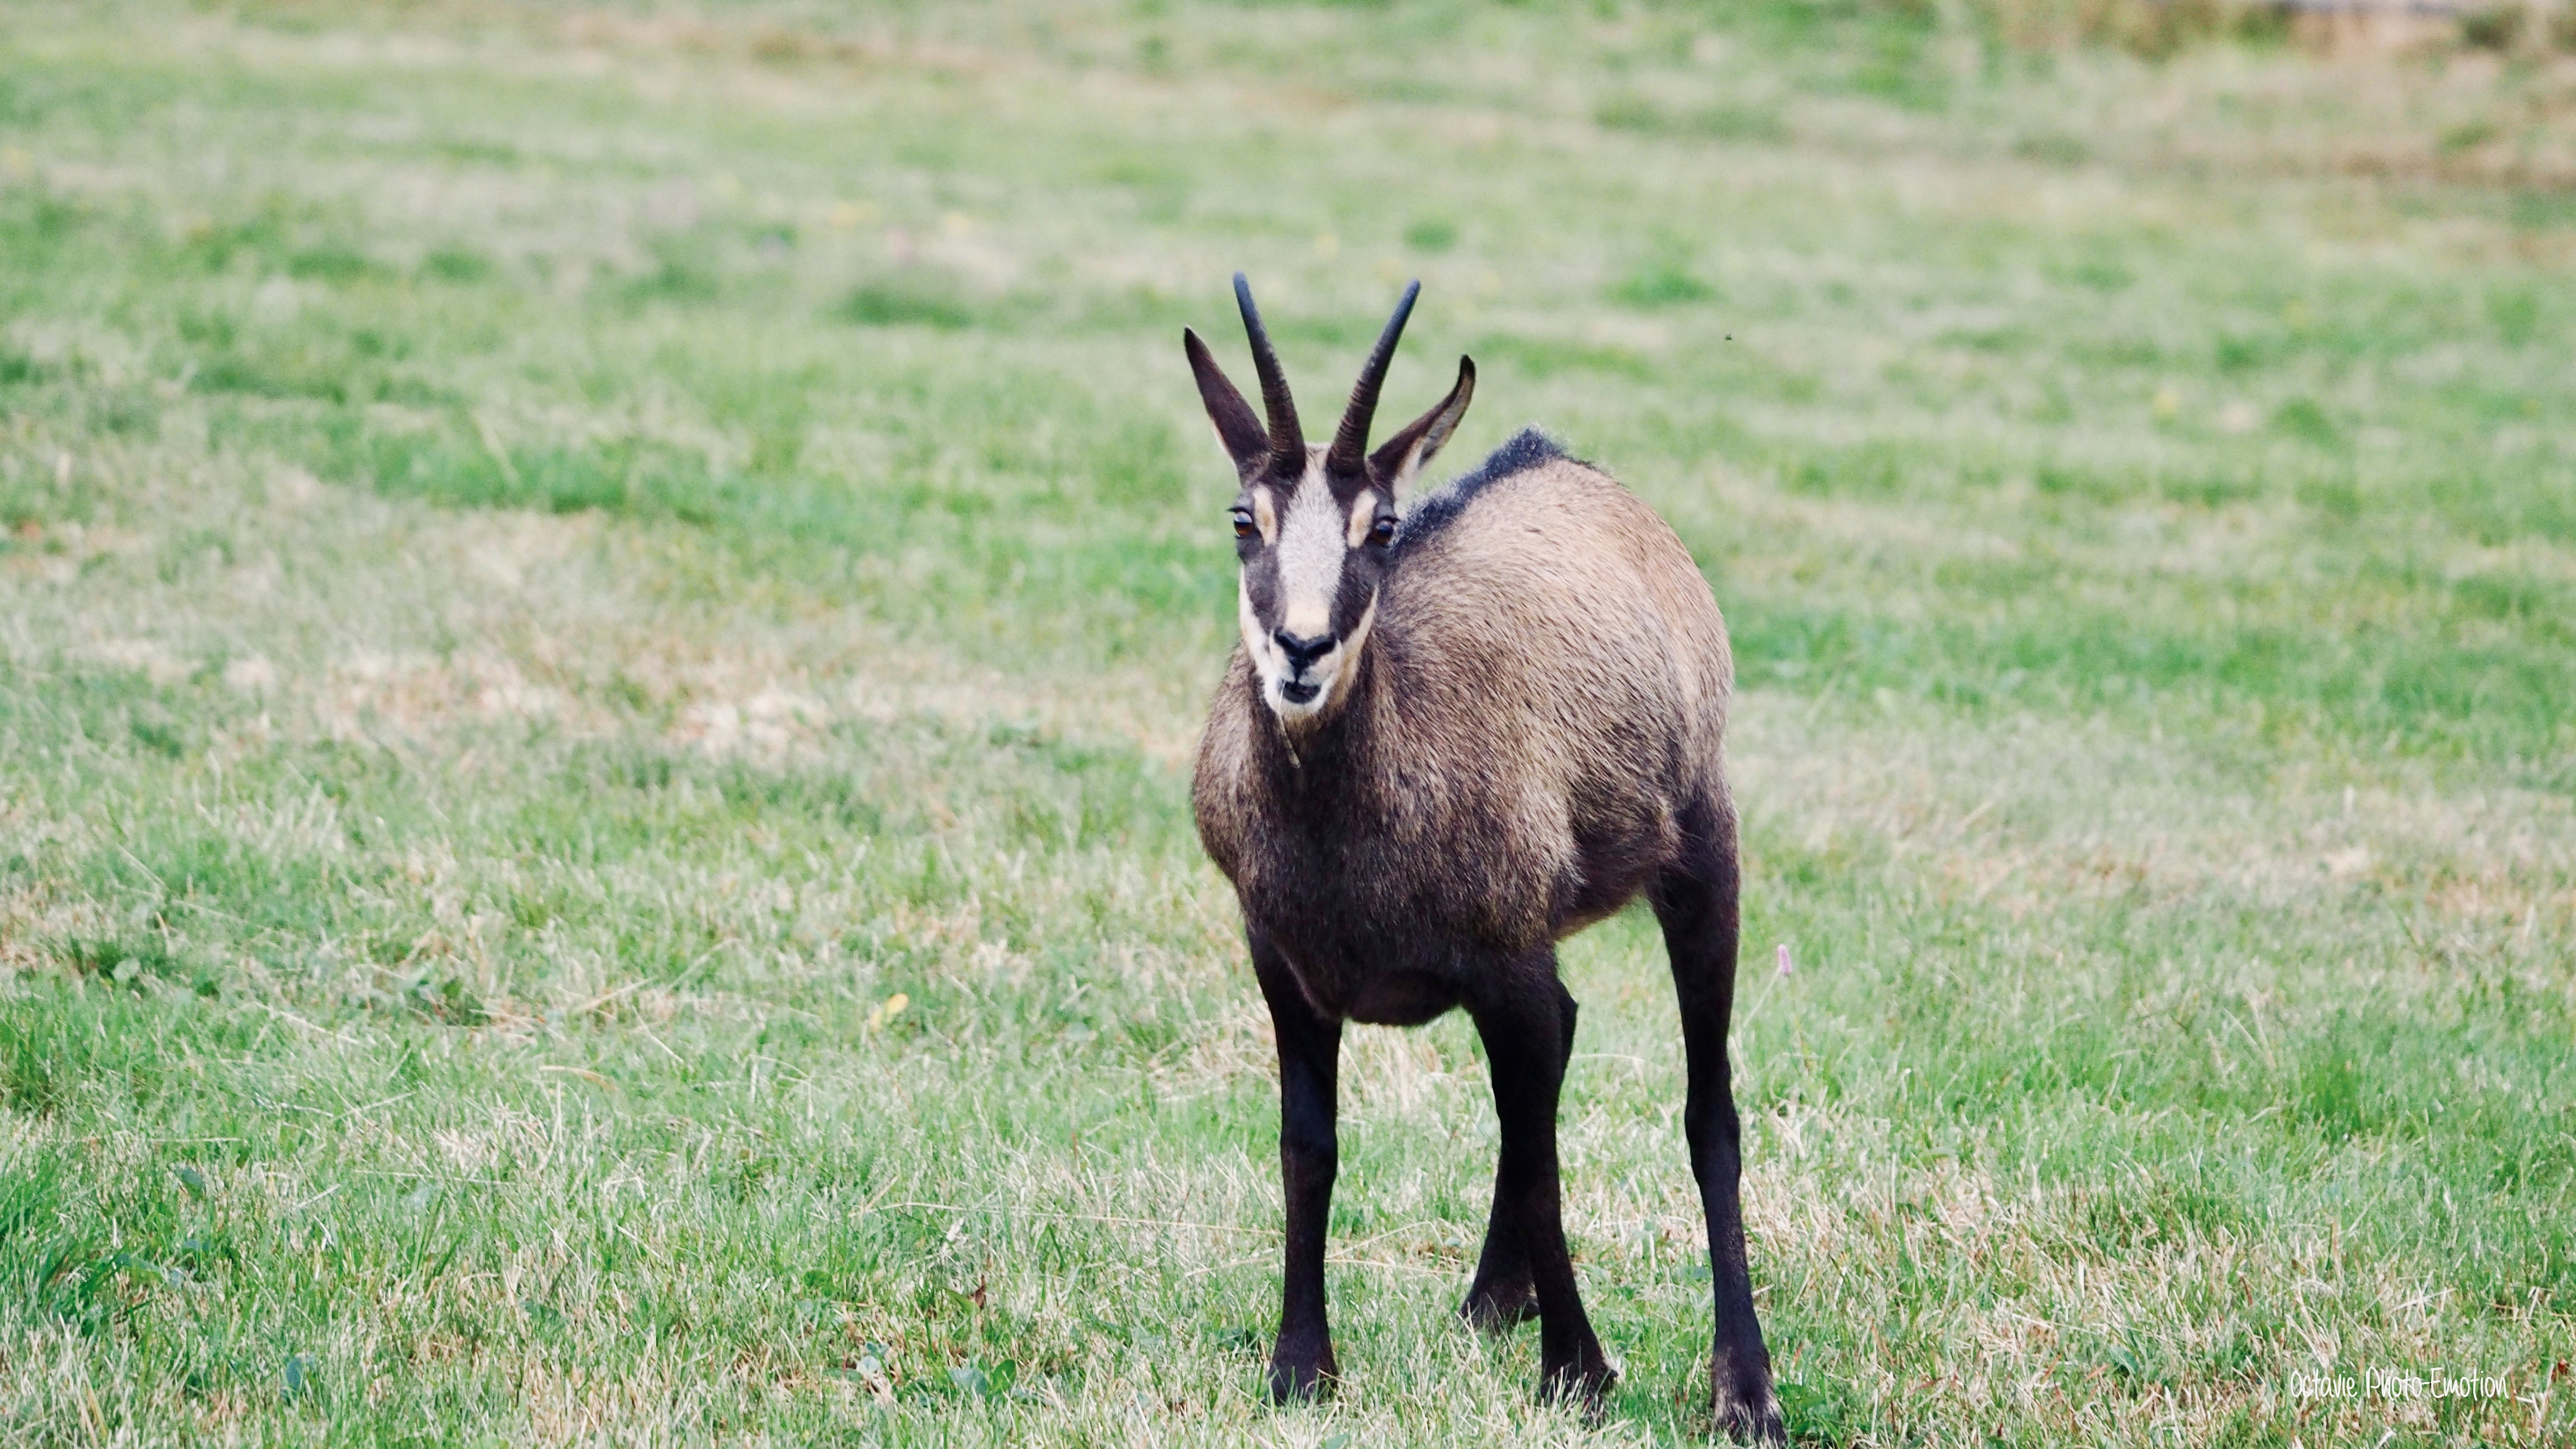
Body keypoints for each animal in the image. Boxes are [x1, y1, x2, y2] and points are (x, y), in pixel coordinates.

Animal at [1183, 275, 1779, 1439]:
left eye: (1381, 525)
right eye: (1244, 520)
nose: (1300, 652)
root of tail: (1562, 463)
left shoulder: (1504, 961)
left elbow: (1545, 1154)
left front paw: (1578, 1372)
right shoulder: (1284, 964)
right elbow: (1307, 1148)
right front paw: (1299, 1367)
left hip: (1701, 846)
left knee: (1707, 1107)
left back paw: (1742, 1387)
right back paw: (1493, 1298)